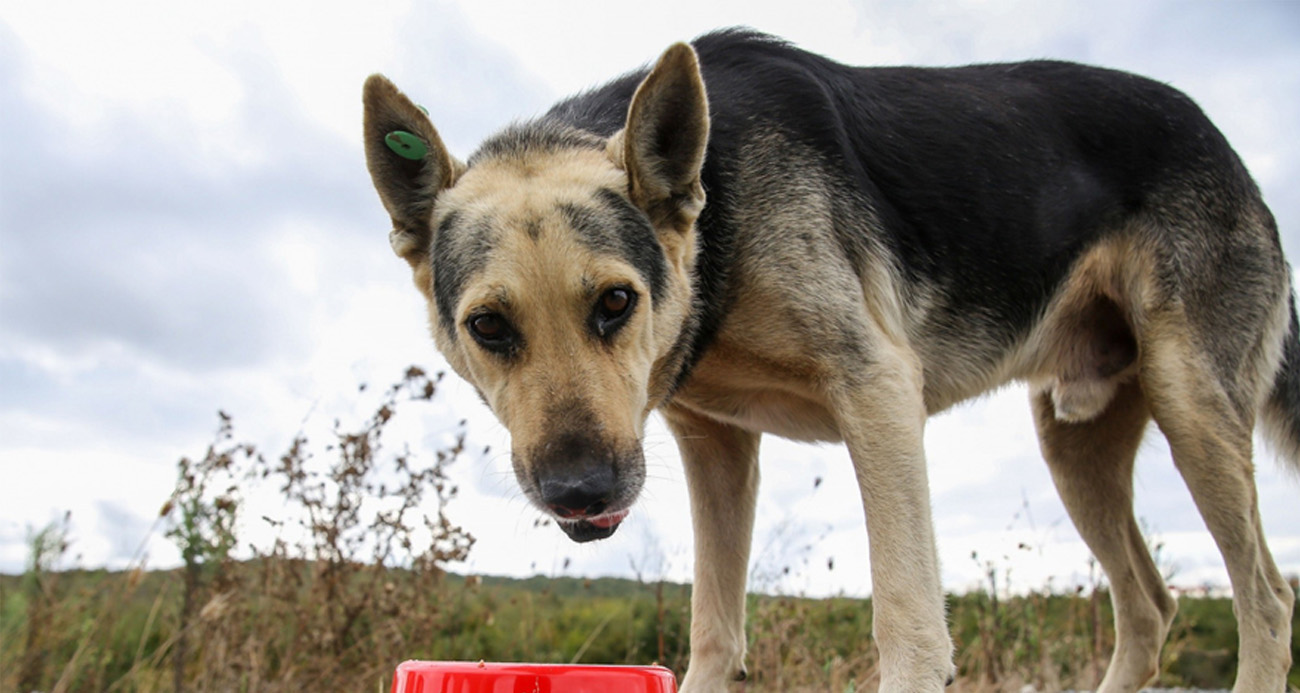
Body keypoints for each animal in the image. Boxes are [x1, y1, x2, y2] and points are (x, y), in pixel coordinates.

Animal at [361, 28, 1294, 691]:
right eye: (489, 326)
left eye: (615, 303)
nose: (579, 492)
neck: (716, 220)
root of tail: (1224, 146)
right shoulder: (715, 447)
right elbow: (714, 631)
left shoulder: (878, 393)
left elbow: (909, 625)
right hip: (1075, 442)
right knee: (1150, 606)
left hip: (1190, 403)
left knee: (1266, 599)